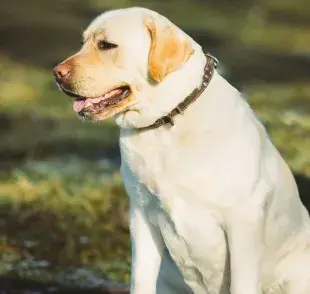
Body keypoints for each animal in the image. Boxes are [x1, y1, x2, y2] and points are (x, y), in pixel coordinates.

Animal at [53, 6, 310, 294]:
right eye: (82, 43)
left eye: (107, 45)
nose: (56, 73)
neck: (168, 123)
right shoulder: (142, 216)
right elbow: (141, 279)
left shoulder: (244, 220)